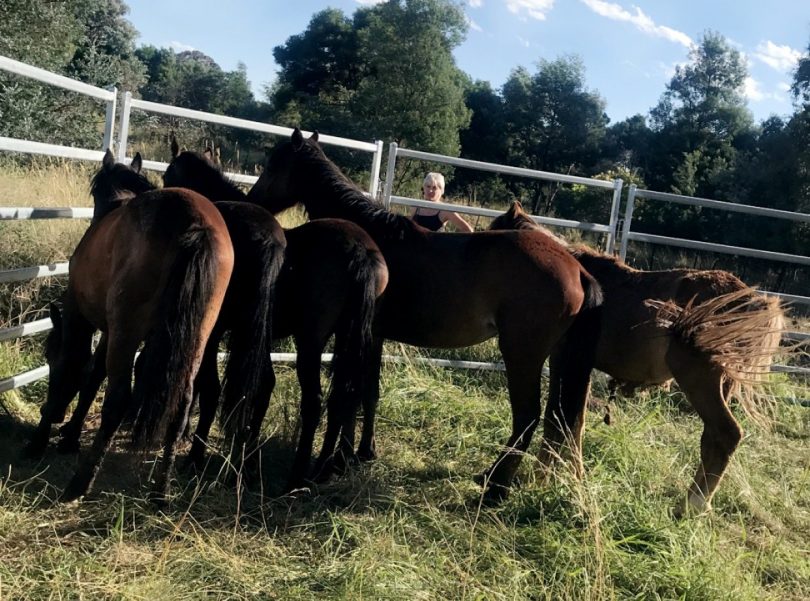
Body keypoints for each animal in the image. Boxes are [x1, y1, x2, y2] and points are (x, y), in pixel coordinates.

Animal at [26, 150, 234, 502]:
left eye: (48, 356)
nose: (53, 416)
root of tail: (196, 223)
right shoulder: (110, 329)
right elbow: (93, 374)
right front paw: (69, 436)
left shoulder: (82, 318)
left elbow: (75, 365)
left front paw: (43, 440)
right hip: (196, 339)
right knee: (182, 403)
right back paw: (161, 492)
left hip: (128, 332)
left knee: (118, 400)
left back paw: (79, 484)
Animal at [163, 138, 386, 490]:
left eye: (168, 176)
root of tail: (362, 254)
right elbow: (259, 387)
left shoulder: (217, 330)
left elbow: (212, 386)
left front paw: (196, 452)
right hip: (349, 339)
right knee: (344, 397)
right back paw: (324, 468)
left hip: (310, 342)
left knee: (313, 402)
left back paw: (296, 476)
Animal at [246, 129, 608, 500]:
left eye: (274, 165)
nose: (253, 198)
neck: (371, 238)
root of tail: (577, 268)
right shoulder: (375, 336)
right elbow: (370, 392)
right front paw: (363, 452)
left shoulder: (361, 334)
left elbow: (352, 393)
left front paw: (340, 459)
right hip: (558, 357)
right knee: (556, 416)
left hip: (522, 354)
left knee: (527, 416)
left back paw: (495, 487)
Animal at [486, 199, 784, 512]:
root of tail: (753, 302)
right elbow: (568, 419)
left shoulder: (562, 359)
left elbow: (561, 417)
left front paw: (550, 477)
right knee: (712, 439)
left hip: (701, 380)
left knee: (725, 434)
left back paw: (694, 505)